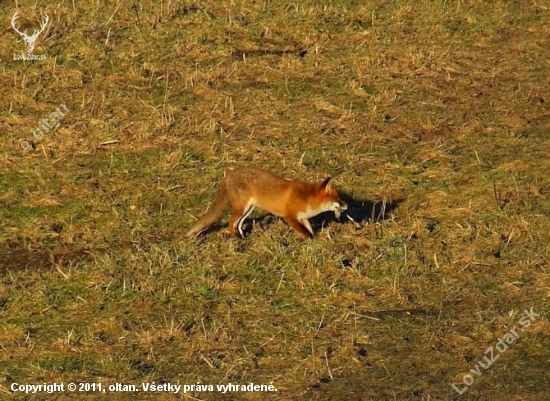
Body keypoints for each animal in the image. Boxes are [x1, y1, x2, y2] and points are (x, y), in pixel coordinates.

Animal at [188, 167, 348, 239]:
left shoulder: (302, 217)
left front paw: (317, 240)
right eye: (337, 199)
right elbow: (305, 232)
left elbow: (310, 229)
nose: (347, 205)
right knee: (231, 221)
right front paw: (311, 242)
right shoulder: (290, 217)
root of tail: (230, 174)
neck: (306, 198)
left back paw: (243, 237)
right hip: (242, 208)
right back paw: (236, 239)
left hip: (248, 209)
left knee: (238, 223)